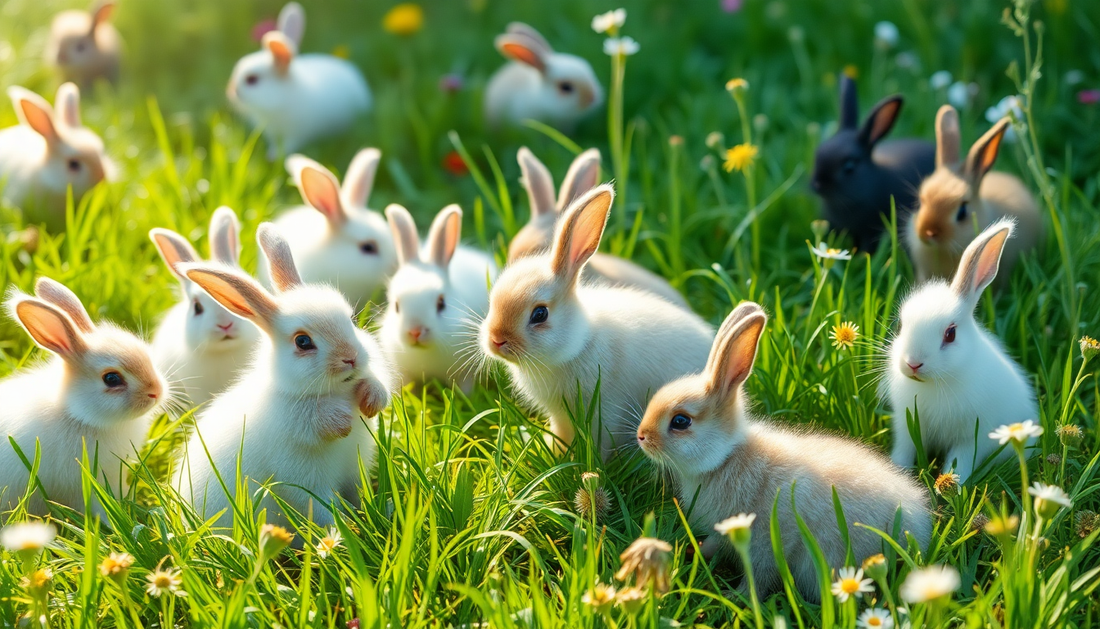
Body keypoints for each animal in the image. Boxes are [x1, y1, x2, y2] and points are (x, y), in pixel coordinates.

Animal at [173, 223, 392, 529]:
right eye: (302, 342)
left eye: (351, 321)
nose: (351, 358)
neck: (333, 391)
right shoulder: (304, 481)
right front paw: (342, 422)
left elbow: (375, 383)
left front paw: (370, 401)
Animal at [226, 2, 371, 160]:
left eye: (252, 80)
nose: (231, 92)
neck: (282, 101)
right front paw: (272, 154)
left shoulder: (297, 135)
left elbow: (289, 146)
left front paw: (274, 156)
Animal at [480, 184, 713, 459]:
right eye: (491, 302)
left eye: (539, 314)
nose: (496, 340)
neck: (578, 345)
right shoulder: (560, 417)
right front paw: (554, 453)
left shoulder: (606, 409)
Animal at [636, 302, 931, 603]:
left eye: (680, 421)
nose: (642, 436)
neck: (726, 458)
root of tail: (919, 527)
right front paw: (693, 550)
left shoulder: (767, 539)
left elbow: (760, 573)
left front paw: (738, 596)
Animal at [884, 219, 1038, 483]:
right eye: (900, 326)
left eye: (950, 334)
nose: (913, 363)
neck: (936, 383)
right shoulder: (907, 427)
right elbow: (905, 449)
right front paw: (898, 470)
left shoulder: (972, 436)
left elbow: (960, 461)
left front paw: (952, 484)